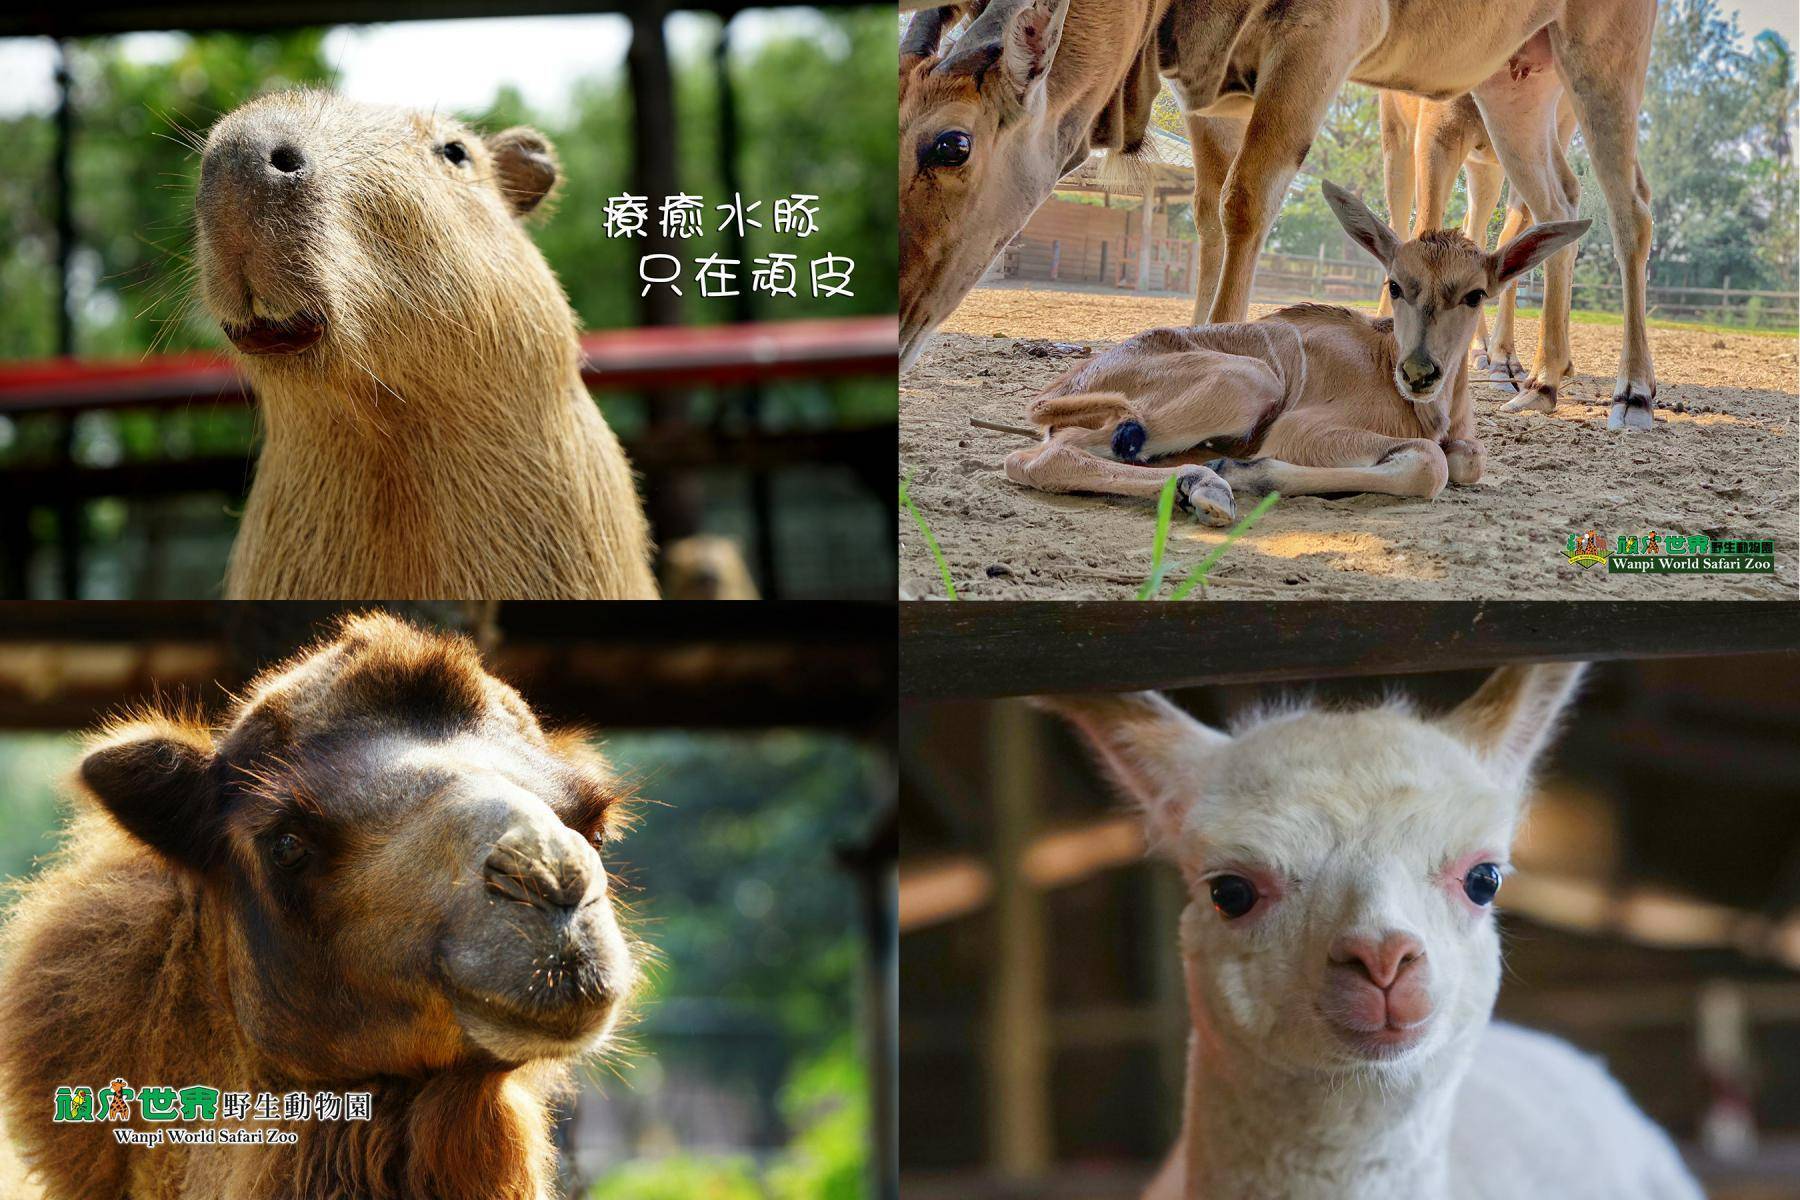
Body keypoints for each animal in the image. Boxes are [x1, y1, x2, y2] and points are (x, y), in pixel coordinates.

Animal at [900, 0, 1656, 429]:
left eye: (952, 143)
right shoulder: (1211, 94)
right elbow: (1208, 216)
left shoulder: (1320, 41)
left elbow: (1246, 201)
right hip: (1513, 88)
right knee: (1558, 206)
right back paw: (1543, 380)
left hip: (1598, 56)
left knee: (1630, 209)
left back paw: (1633, 392)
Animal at [1008, 184, 1584, 525]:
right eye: (1395, 285)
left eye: (1475, 294)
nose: (1419, 372)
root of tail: (1064, 386)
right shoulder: (1303, 432)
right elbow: (1430, 463)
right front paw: (1245, 471)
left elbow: (1465, 459)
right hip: (1249, 380)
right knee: (1042, 457)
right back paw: (1208, 483)